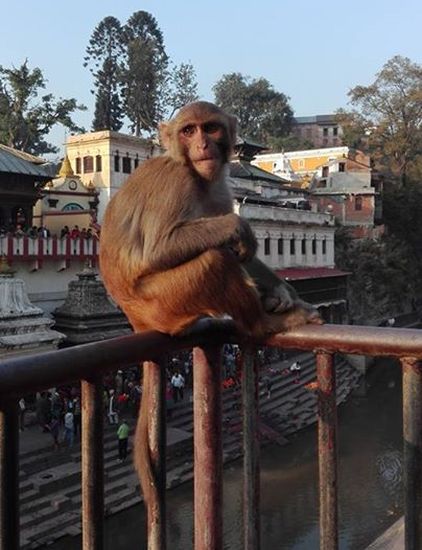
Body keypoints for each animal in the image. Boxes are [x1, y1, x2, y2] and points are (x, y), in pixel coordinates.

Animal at [99, 102, 324, 516]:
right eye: (188, 131)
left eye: (211, 128)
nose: (203, 144)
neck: (195, 174)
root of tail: (137, 321)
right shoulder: (176, 183)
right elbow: (161, 248)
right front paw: (241, 228)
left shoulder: (219, 186)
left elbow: (238, 246)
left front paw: (284, 290)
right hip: (167, 302)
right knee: (211, 260)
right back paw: (263, 322)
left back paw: (273, 304)